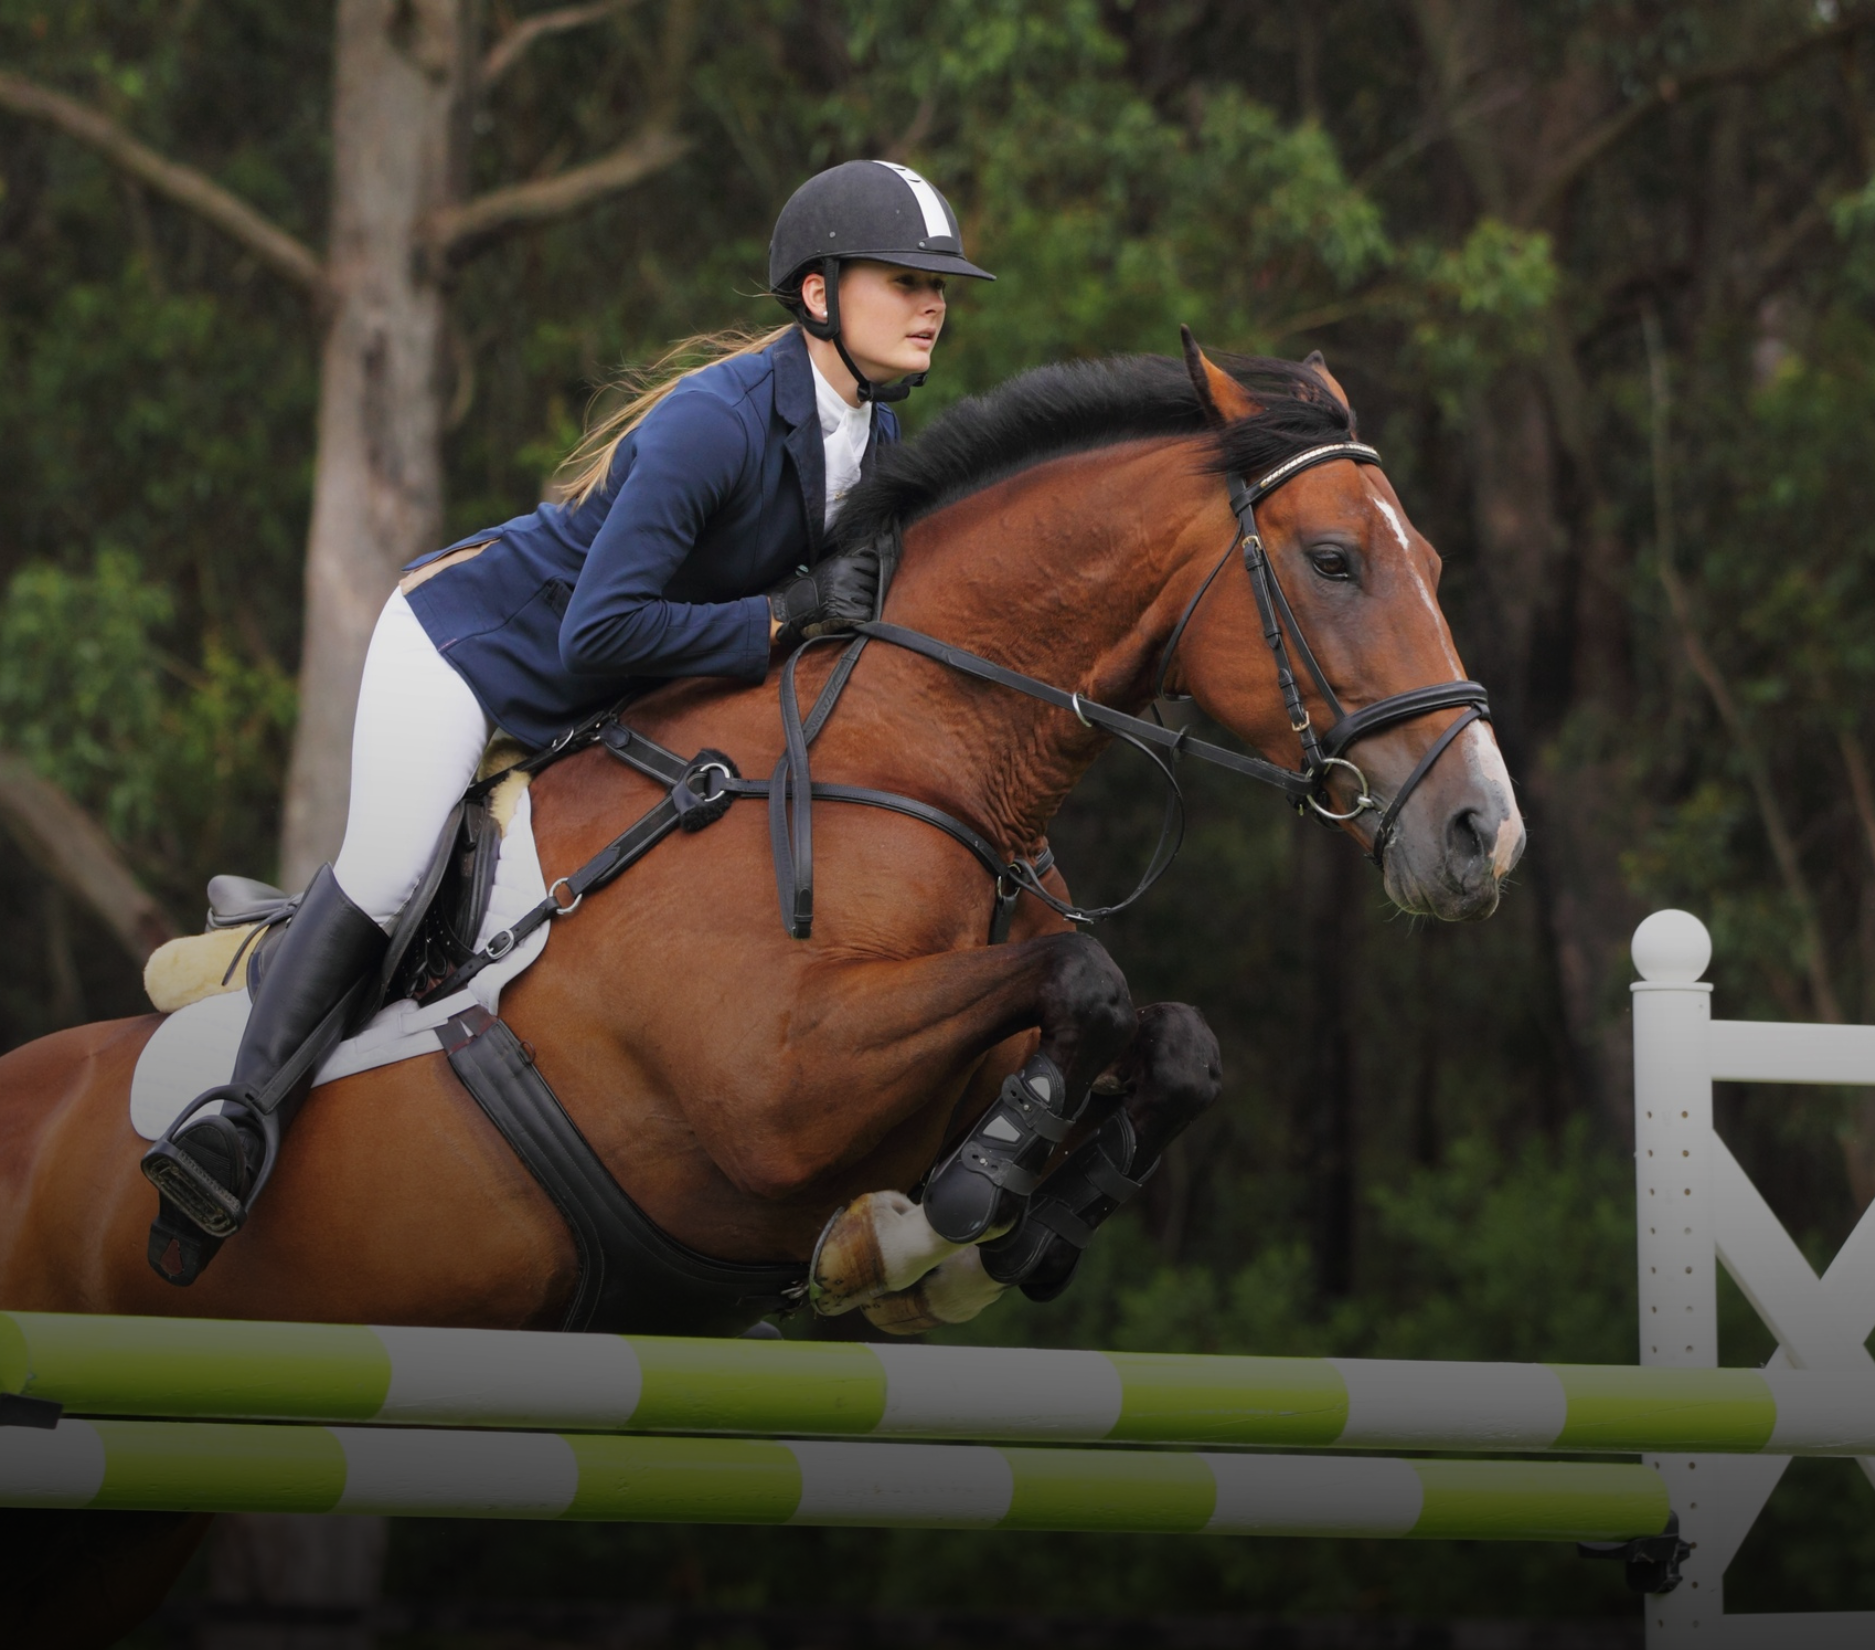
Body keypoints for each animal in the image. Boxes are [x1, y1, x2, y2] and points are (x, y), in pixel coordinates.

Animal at [0, 340, 1522, 1644]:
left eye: (1430, 560)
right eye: (1334, 560)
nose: (1481, 838)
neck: (909, 748)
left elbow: (1169, 1039)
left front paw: (994, 1232)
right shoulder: (770, 1089)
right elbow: (1079, 979)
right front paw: (946, 1216)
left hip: (125, 1524)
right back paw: (212, 1157)